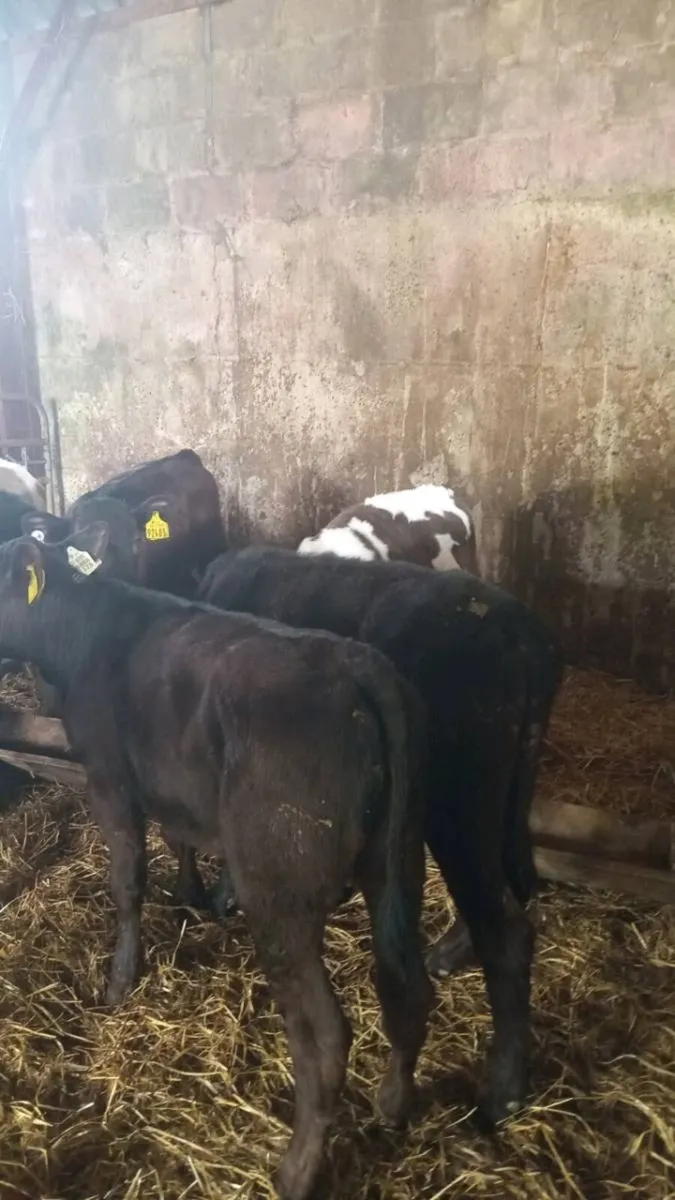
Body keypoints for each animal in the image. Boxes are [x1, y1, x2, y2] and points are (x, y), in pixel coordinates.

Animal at [0, 528, 433, 1200]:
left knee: (325, 1035)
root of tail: (355, 663)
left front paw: (121, 979)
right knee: (408, 988)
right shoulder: (172, 784)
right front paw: (191, 896)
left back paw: (297, 1169)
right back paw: (392, 1105)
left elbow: (127, 882)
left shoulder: (109, 780)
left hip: (281, 893)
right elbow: (179, 840)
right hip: (399, 866)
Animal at [197, 545, 563, 1129]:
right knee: (512, 884)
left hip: (459, 801)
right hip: (505, 797)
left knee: (506, 930)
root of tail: (513, 624)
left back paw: (503, 1089)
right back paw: (450, 955)